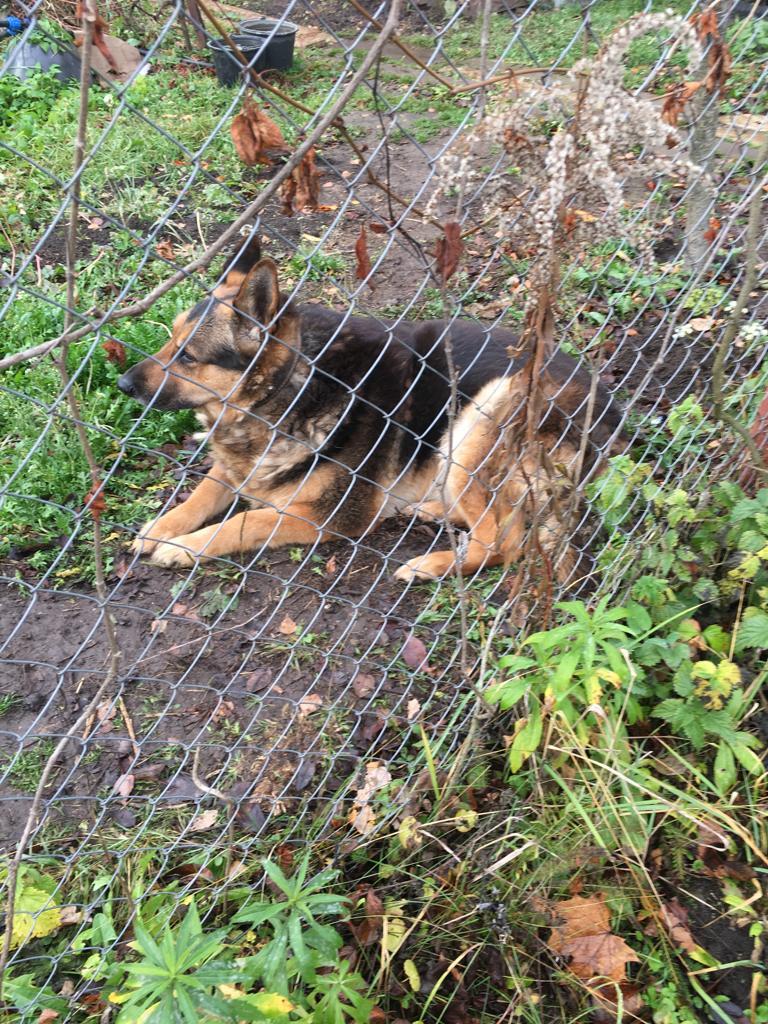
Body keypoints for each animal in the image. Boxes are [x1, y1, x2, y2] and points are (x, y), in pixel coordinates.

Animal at [120, 234, 626, 581]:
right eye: (169, 338)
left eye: (188, 356)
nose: (124, 383)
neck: (293, 386)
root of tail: (614, 417)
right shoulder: (238, 467)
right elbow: (204, 491)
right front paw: (163, 527)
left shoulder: (327, 516)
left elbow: (244, 519)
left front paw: (185, 546)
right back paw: (430, 510)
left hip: (479, 419)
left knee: (503, 542)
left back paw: (430, 564)